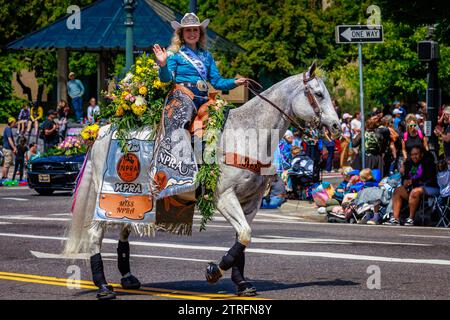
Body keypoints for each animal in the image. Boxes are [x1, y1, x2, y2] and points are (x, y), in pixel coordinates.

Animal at [62, 62, 338, 300]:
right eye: (318, 94)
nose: (335, 126)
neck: (247, 134)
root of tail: (101, 131)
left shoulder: (252, 201)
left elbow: (242, 238)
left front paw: (241, 283)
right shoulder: (224, 197)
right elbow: (245, 235)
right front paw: (215, 271)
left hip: (135, 197)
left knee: (124, 228)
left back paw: (128, 277)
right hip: (110, 195)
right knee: (95, 234)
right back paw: (103, 286)